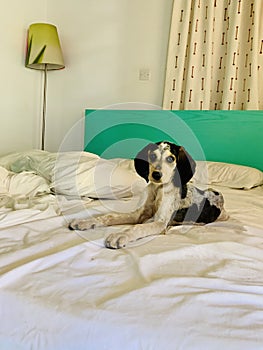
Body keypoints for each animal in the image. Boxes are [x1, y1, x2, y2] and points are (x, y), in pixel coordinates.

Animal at [69, 142, 228, 249]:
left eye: (170, 159)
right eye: (152, 156)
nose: (156, 175)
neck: (158, 189)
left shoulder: (159, 222)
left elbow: (138, 227)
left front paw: (121, 235)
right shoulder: (139, 214)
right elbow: (110, 216)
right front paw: (86, 221)